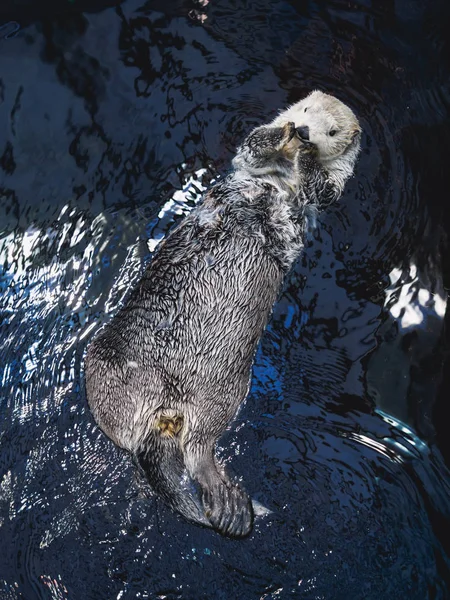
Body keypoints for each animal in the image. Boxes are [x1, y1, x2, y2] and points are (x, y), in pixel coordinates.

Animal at [84, 90, 362, 540]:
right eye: (304, 111)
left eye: (332, 131)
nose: (303, 132)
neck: (284, 175)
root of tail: (163, 411)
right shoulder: (248, 160)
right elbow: (252, 144)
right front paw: (282, 135)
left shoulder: (331, 189)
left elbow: (321, 188)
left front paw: (306, 158)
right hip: (111, 367)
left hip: (224, 392)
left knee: (199, 450)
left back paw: (229, 507)